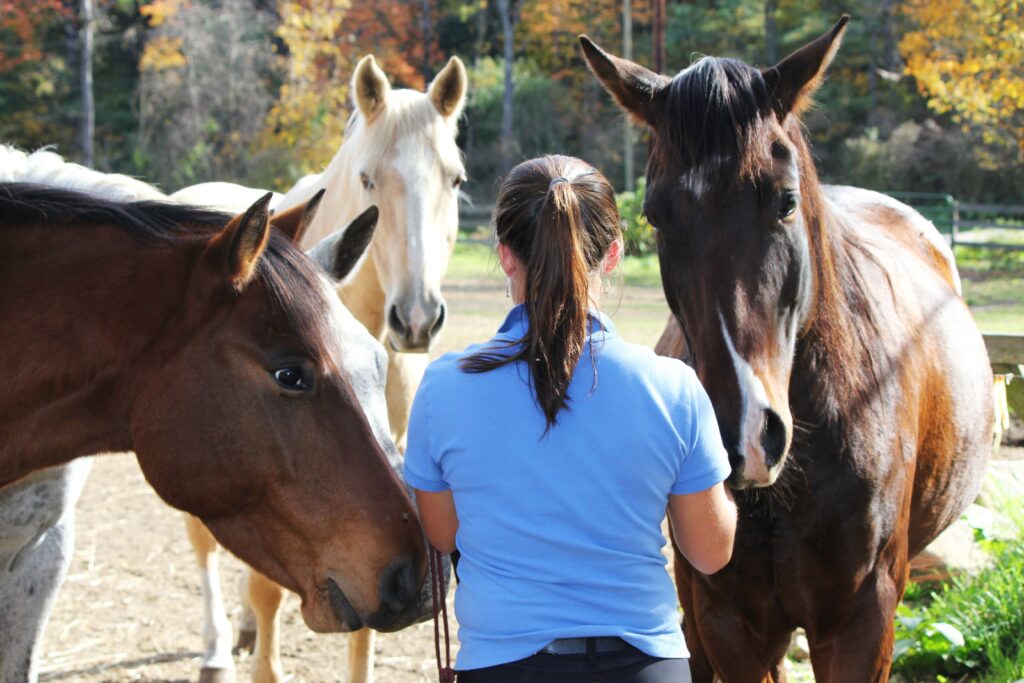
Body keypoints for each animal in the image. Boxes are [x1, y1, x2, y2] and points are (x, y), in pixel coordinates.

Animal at [170, 54, 467, 683]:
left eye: (454, 179)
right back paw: (215, 649)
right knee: (206, 548)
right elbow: (266, 589)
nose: (417, 318)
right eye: (368, 178)